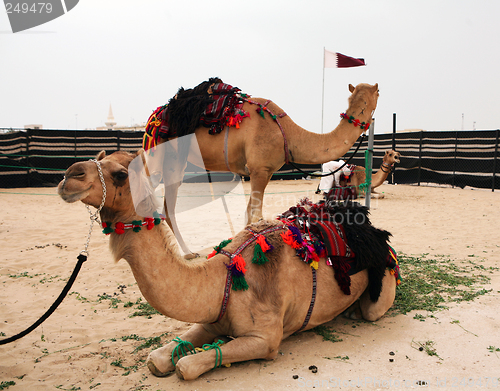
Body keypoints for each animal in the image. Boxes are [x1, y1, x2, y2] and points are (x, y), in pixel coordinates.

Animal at [56, 149, 398, 380]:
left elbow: (186, 366)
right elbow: (159, 358)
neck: (227, 279)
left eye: (120, 174)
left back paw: (355, 312)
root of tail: (379, 235)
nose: (69, 175)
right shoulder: (211, 319)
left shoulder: (266, 340)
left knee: (372, 310)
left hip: (383, 287)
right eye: (97, 160)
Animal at [145, 80, 378, 258]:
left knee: (168, 206)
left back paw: (187, 253)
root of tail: (155, 115)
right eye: (378, 93)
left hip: (175, 160)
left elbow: (249, 215)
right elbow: (256, 216)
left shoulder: (264, 172)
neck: (288, 135)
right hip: (159, 152)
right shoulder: (260, 169)